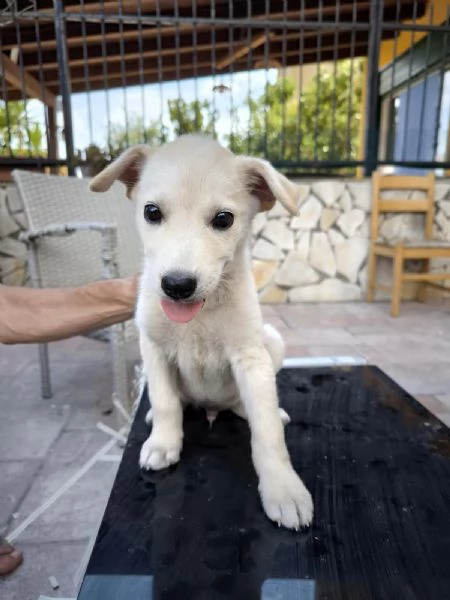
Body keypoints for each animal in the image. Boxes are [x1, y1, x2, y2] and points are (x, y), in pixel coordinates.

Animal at [90, 136, 312, 528]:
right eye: (151, 212)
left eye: (223, 219)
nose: (177, 286)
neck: (199, 317)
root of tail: (211, 408)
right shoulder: (153, 347)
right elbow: (165, 401)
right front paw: (163, 443)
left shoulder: (250, 356)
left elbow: (268, 431)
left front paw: (284, 489)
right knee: (175, 401)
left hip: (272, 341)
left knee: (249, 405)